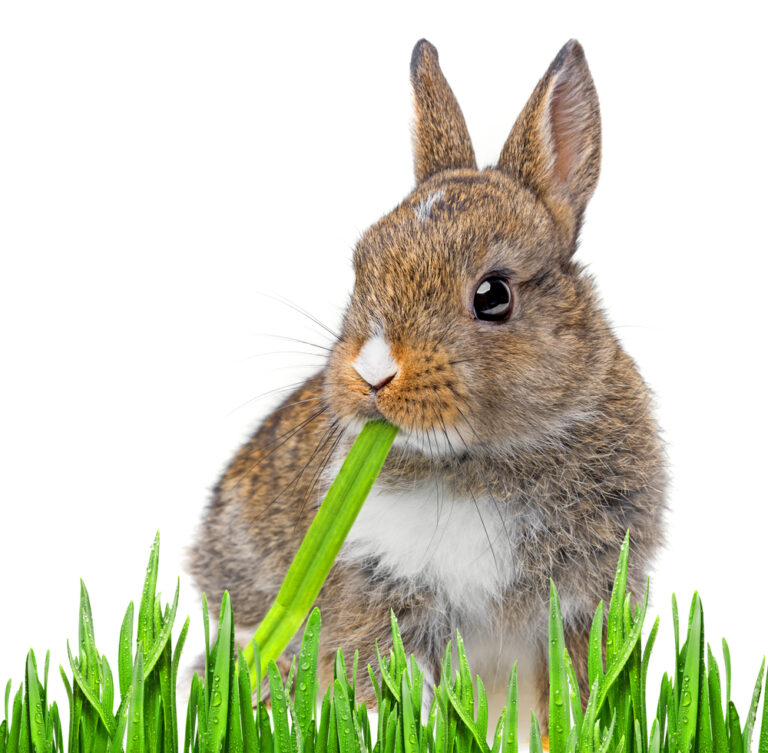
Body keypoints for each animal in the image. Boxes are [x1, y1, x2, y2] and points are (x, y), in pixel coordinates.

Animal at [188, 38, 666, 726]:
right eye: (362, 263)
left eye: (493, 295)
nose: (372, 373)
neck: (484, 462)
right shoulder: (383, 603)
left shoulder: (583, 606)